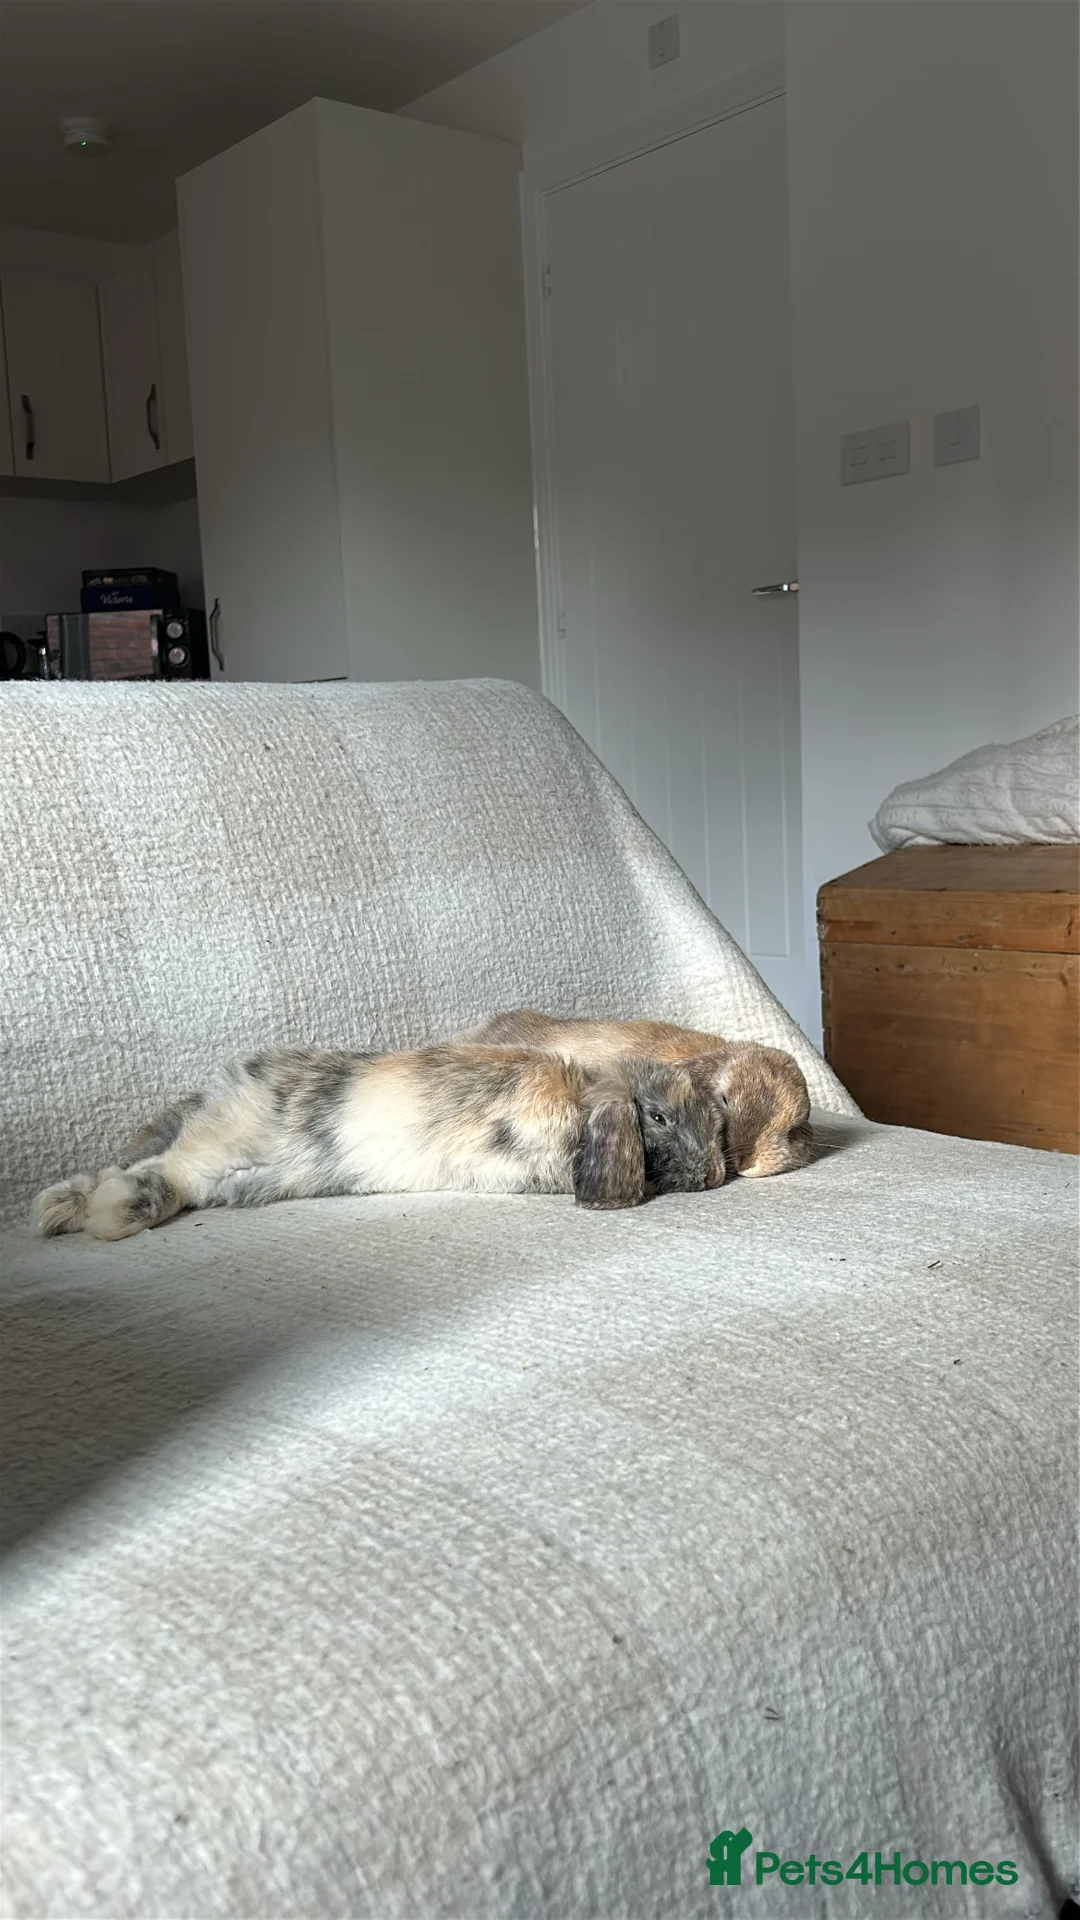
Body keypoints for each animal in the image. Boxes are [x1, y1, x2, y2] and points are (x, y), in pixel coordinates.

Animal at [31, 1042, 727, 1242]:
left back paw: (63, 1207)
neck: (579, 1100)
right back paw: (108, 1211)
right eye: (658, 1118)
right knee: (164, 1171)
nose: (714, 1174)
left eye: (717, 1115)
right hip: (221, 1150)